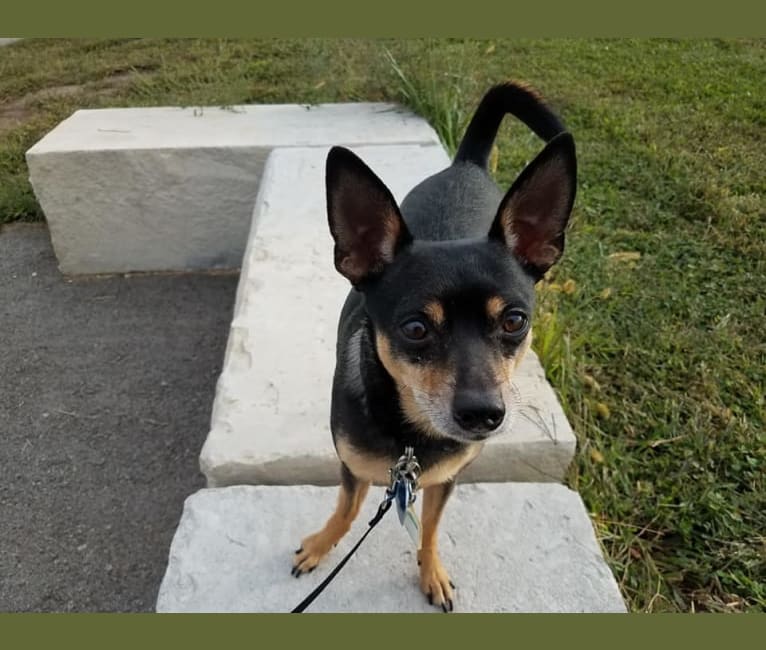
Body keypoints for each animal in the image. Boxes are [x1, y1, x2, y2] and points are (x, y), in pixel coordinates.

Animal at [292, 79, 576, 608]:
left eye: (515, 321)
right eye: (416, 329)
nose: (484, 415)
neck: (411, 435)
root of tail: (467, 163)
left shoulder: (445, 479)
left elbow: (429, 527)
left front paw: (432, 571)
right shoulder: (352, 466)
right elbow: (345, 509)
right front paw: (320, 546)